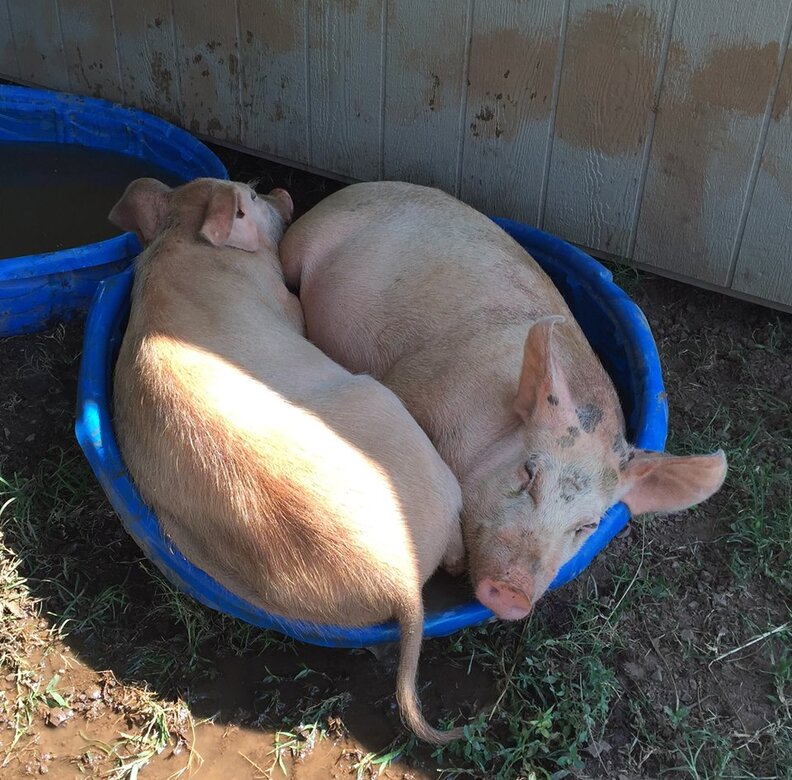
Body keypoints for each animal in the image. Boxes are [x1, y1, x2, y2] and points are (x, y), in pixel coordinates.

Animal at [109, 177, 465, 743]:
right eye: (250, 199)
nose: (280, 189)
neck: (180, 244)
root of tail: (402, 580)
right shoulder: (283, 301)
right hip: (386, 406)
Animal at [280, 181, 727, 621]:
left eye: (586, 525)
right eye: (528, 473)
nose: (512, 594)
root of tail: (356, 188)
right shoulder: (413, 383)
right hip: (303, 240)